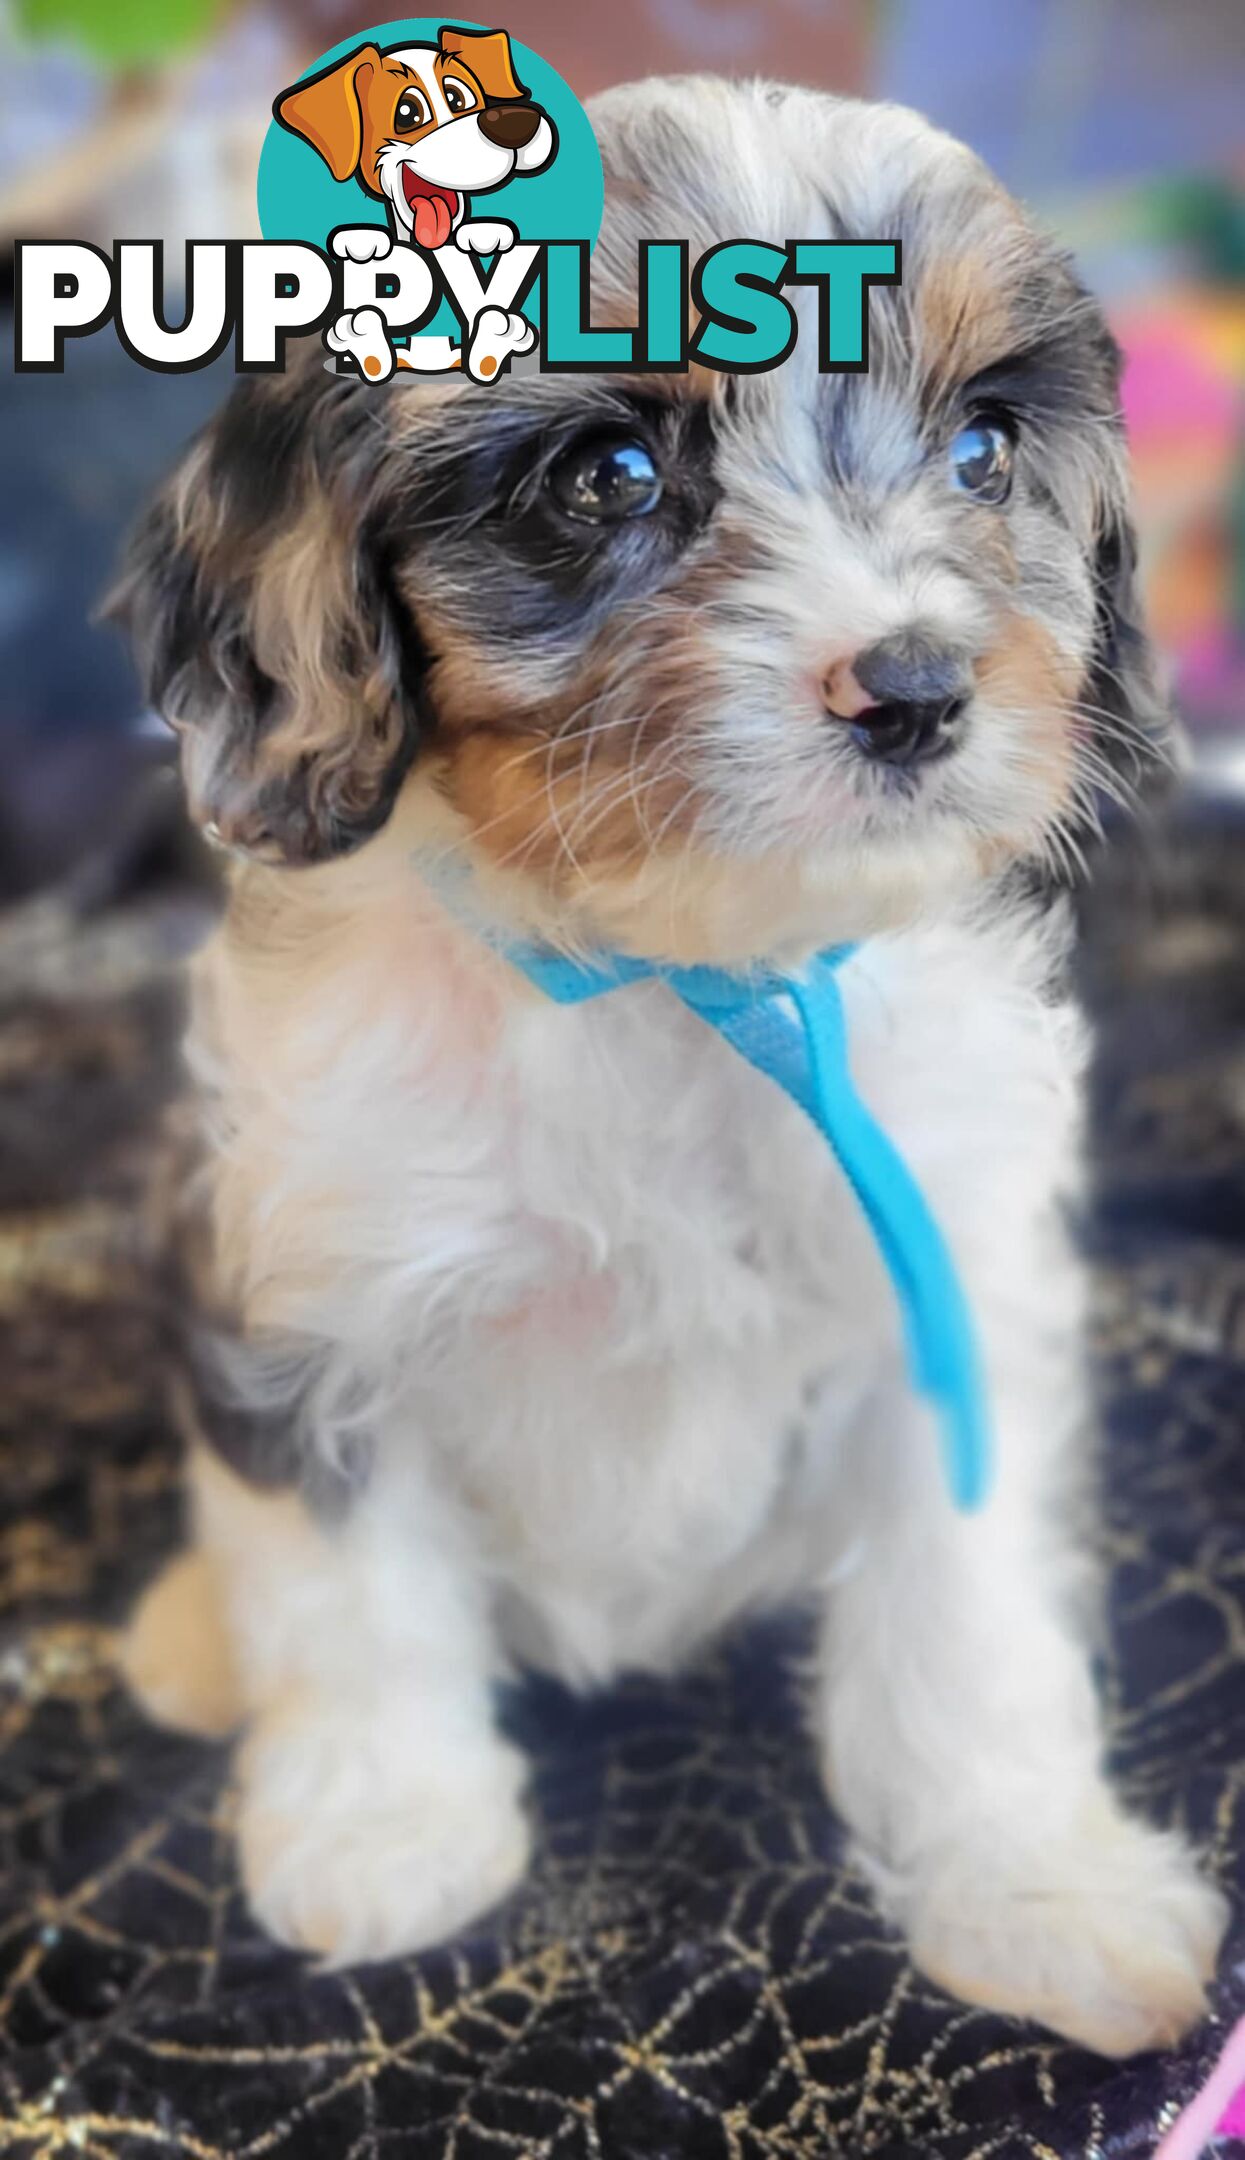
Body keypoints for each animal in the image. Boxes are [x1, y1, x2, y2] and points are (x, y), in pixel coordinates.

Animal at [116, 76, 1227, 2047]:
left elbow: (967, 1613)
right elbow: (344, 1582)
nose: (917, 689)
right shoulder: (305, 1284)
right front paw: (384, 1834)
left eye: (984, 449)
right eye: (607, 478)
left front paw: (1037, 1884)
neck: (684, 976)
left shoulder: (951, 1293)